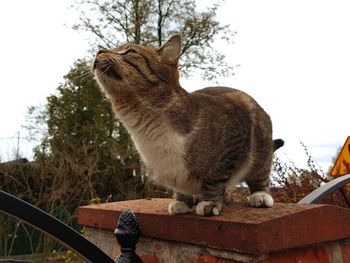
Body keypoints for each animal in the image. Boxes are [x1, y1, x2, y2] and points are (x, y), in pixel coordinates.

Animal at [91, 34, 284, 217]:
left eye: (129, 51)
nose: (99, 50)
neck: (146, 124)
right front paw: (182, 201)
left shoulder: (235, 132)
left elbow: (216, 179)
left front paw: (211, 202)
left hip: (260, 136)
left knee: (260, 170)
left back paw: (260, 195)